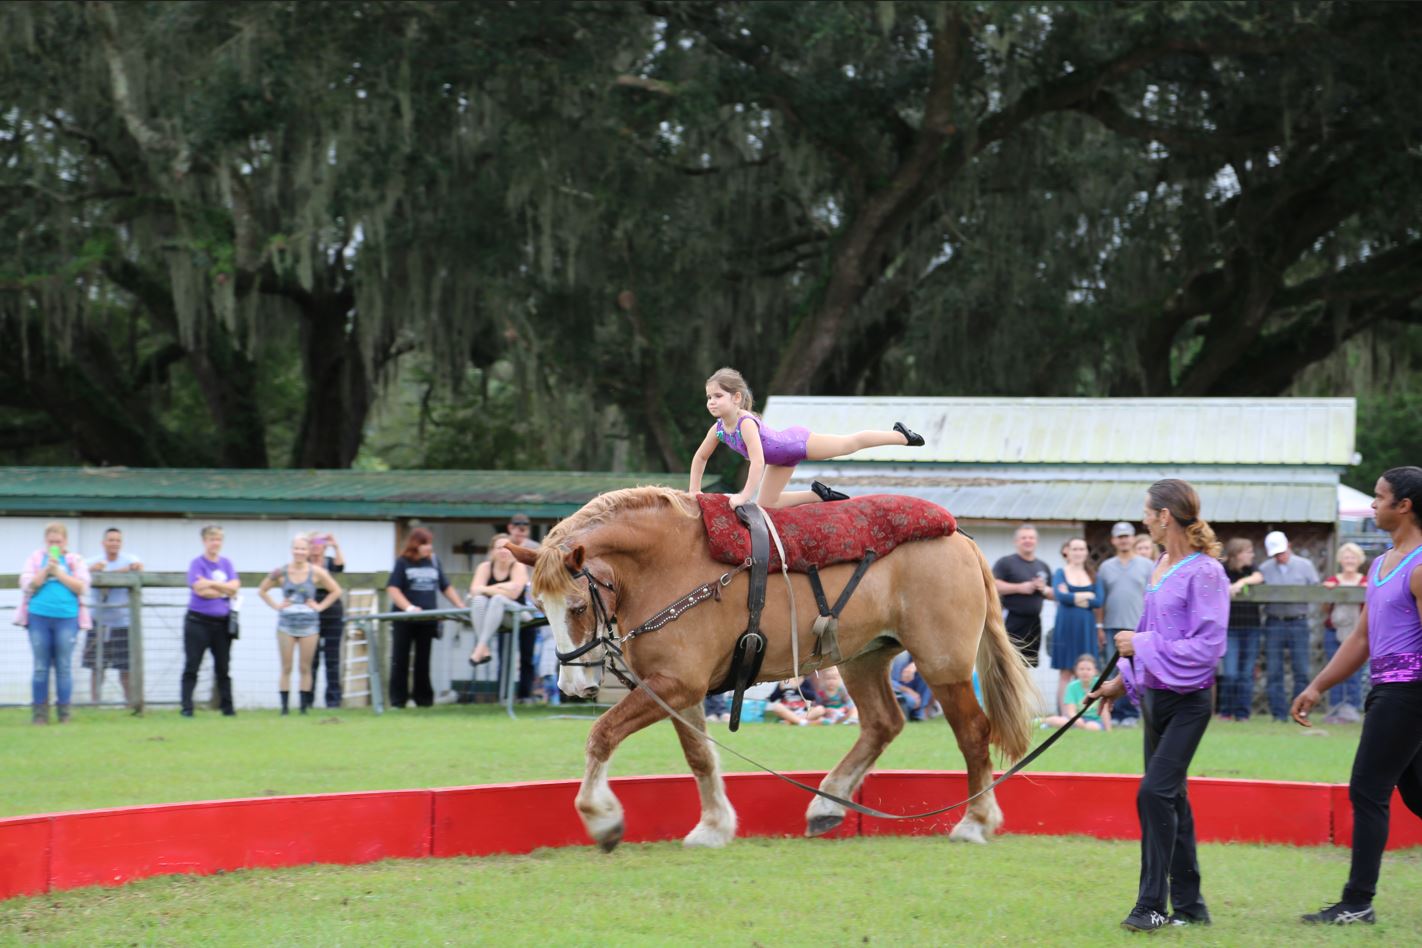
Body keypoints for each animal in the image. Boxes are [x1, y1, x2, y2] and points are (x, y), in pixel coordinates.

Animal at [509, 488, 1035, 852]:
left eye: (578, 607)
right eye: (539, 606)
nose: (572, 684)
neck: (668, 564)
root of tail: (958, 537)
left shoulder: (675, 685)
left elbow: (602, 734)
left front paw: (601, 818)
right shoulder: (676, 689)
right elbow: (699, 757)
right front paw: (714, 826)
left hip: (941, 663)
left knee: (973, 732)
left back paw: (975, 821)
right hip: (863, 658)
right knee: (883, 723)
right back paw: (827, 803)